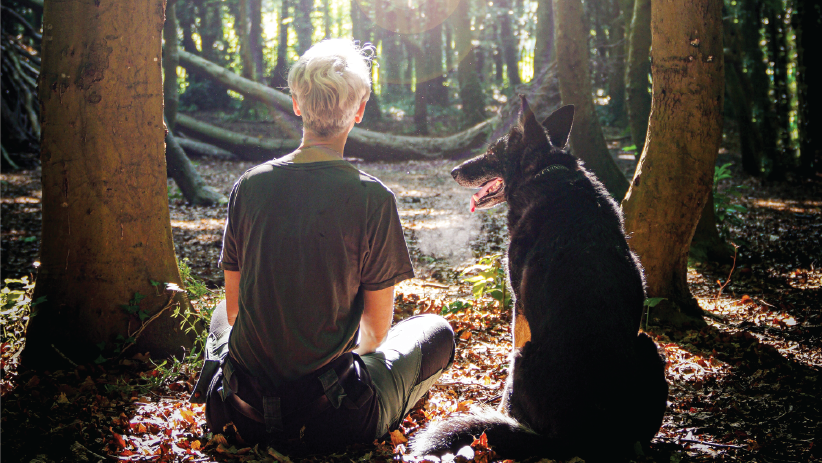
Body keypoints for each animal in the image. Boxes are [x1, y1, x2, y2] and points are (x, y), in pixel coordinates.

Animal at [412, 98, 668, 460]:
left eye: (493, 152)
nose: (453, 171)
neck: (545, 174)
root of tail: (576, 438)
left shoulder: (519, 308)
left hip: (528, 356)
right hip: (648, 346)